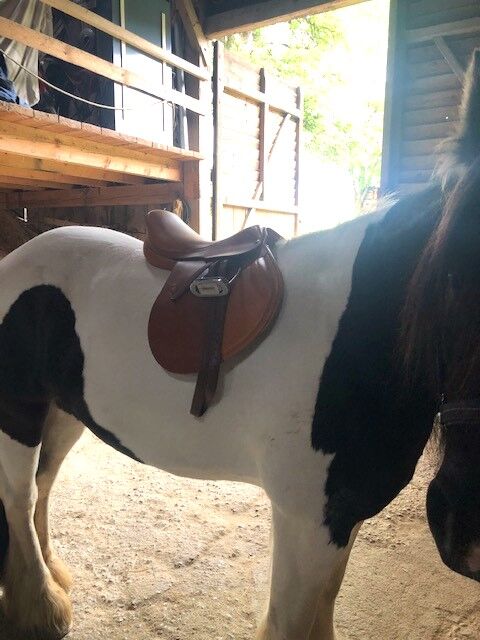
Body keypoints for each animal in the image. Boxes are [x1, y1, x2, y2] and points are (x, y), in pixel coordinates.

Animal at [0, 49, 479, 640]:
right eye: (448, 277)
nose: (465, 532)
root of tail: (21, 256)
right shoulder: (306, 520)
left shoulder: (339, 521)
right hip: (18, 411)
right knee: (19, 497)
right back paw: (43, 609)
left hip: (66, 411)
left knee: (43, 487)